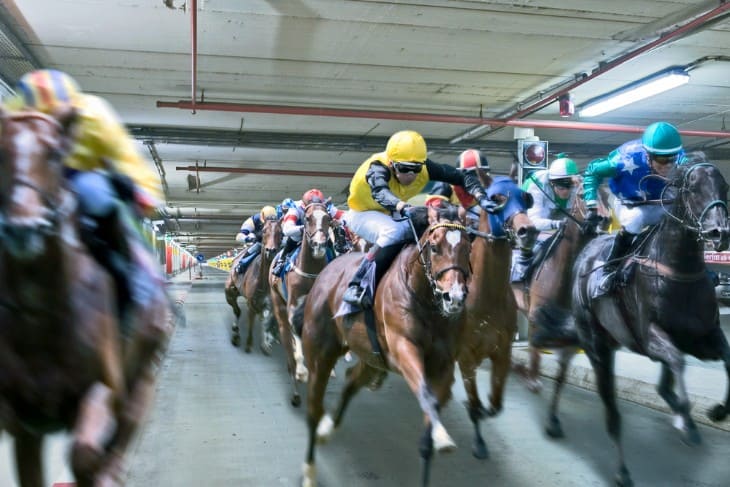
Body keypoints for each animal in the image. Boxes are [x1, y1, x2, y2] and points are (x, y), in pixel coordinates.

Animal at [0, 108, 171, 486]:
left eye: (53, 153)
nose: (22, 229)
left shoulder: (102, 389)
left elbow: (84, 455)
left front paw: (99, 470)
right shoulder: (23, 420)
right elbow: (31, 471)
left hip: (143, 372)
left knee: (126, 423)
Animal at [223, 217, 280, 354]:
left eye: (281, 232)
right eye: (264, 231)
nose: (271, 250)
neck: (263, 282)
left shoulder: (269, 304)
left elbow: (266, 320)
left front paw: (266, 342)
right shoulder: (251, 303)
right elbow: (250, 320)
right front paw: (248, 344)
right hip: (229, 291)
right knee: (237, 311)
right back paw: (236, 333)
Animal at [270, 199, 332, 408]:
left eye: (328, 219)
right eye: (307, 218)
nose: (319, 244)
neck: (310, 273)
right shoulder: (293, 307)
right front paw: (302, 371)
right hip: (278, 303)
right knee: (286, 338)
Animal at [298, 205, 472, 487]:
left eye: (468, 246)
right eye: (435, 247)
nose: (454, 297)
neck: (427, 301)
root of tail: (324, 274)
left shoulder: (444, 364)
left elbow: (430, 417)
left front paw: (437, 438)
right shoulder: (403, 346)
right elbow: (424, 392)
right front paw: (443, 437)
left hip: (371, 357)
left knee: (351, 381)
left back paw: (327, 429)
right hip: (320, 353)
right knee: (314, 407)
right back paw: (309, 472)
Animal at [458, 176, 536, 462]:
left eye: (526, 197)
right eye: (496, 198)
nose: (527, 231)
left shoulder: (501, 350)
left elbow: (496, 403)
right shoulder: (465, 355)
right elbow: (474, 400)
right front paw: (479, 441)